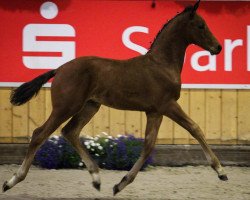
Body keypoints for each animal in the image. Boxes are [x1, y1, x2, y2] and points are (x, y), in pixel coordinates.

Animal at [2, 0, 229, 195]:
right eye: (200, 26)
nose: (218, 47)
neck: (161, 64)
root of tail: (59, 68)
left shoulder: (154, 111)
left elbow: (148, 145)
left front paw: (120, 184)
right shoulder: (167, 105)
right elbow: (195, 128)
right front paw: (221, 172)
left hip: (90, 106)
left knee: (70, 131)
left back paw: (96, 178)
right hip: (66, 107)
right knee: (39, 134)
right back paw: (11, 181)